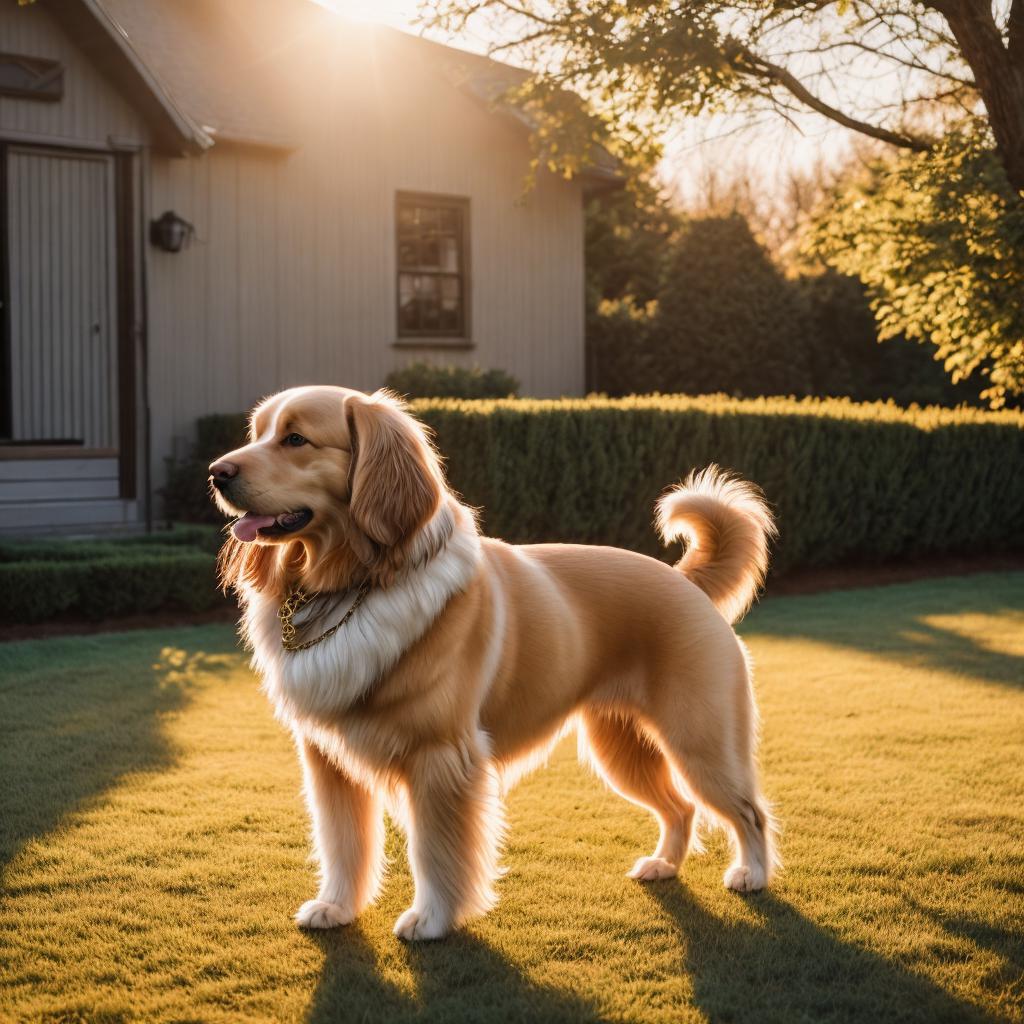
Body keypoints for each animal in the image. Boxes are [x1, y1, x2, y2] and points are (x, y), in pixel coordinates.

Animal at [211, 385, 778, 942]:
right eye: (257, 434)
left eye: (296, 439)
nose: (216, 473)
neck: (352, 588)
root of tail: (683, 580)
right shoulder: (328, 762)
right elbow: (343, 843)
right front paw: (336, 907)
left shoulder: (441, 759)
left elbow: (435, 851)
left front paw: (432, 920)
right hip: (622, 749)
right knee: (681, 807)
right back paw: (664, 865)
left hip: (700, 742)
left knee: (749, 812)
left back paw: (752, 874)